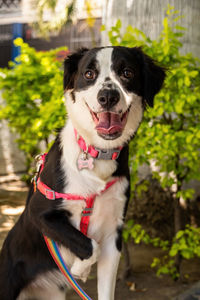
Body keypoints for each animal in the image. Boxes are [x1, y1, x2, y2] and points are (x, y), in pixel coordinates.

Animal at [0, 45, 165, 298]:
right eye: (89, 74)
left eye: (127, 72)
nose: (108, 97)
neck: (98, 154)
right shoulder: (39, 212)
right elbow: (89, 244)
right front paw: (80, 268)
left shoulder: (114, 235)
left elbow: (101, 270)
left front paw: (80, 269)